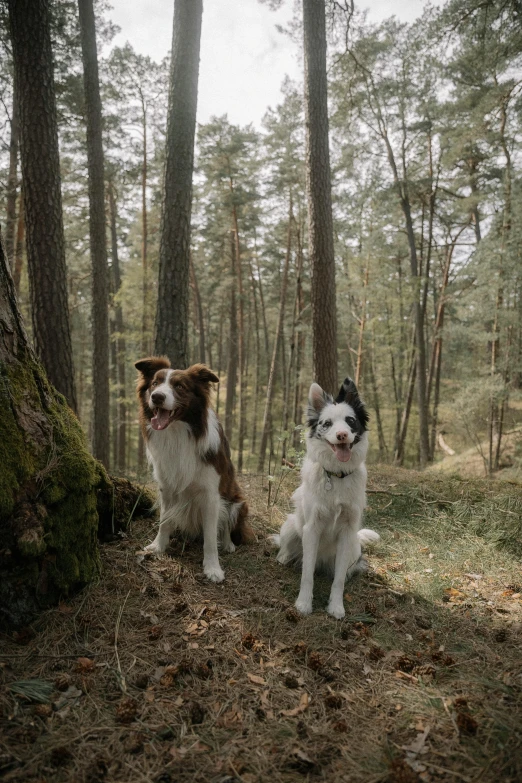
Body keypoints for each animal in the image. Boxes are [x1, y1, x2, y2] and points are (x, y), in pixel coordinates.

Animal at [135, 356, 251, 580]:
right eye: (155, 383)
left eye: (179, 386)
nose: (157, 397)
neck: (179, 433)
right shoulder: (166, 487)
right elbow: (164, 521)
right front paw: (158, 546)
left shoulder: (211, 494)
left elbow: (210, 537)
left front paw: (212, 568)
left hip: (238, 501)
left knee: (226, 525)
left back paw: (228, 544)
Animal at [272, 378, 378, 620]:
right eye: (327, 423)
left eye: (350, 421)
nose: (342, 435)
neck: (337, 476)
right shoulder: (312, 528)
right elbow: (307, 574)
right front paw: (303, 603)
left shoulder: (347, 532)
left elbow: (338, 580)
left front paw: (336, 606)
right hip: (291, 526)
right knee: (287, 549)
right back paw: (283, 558)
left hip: (353, 547)